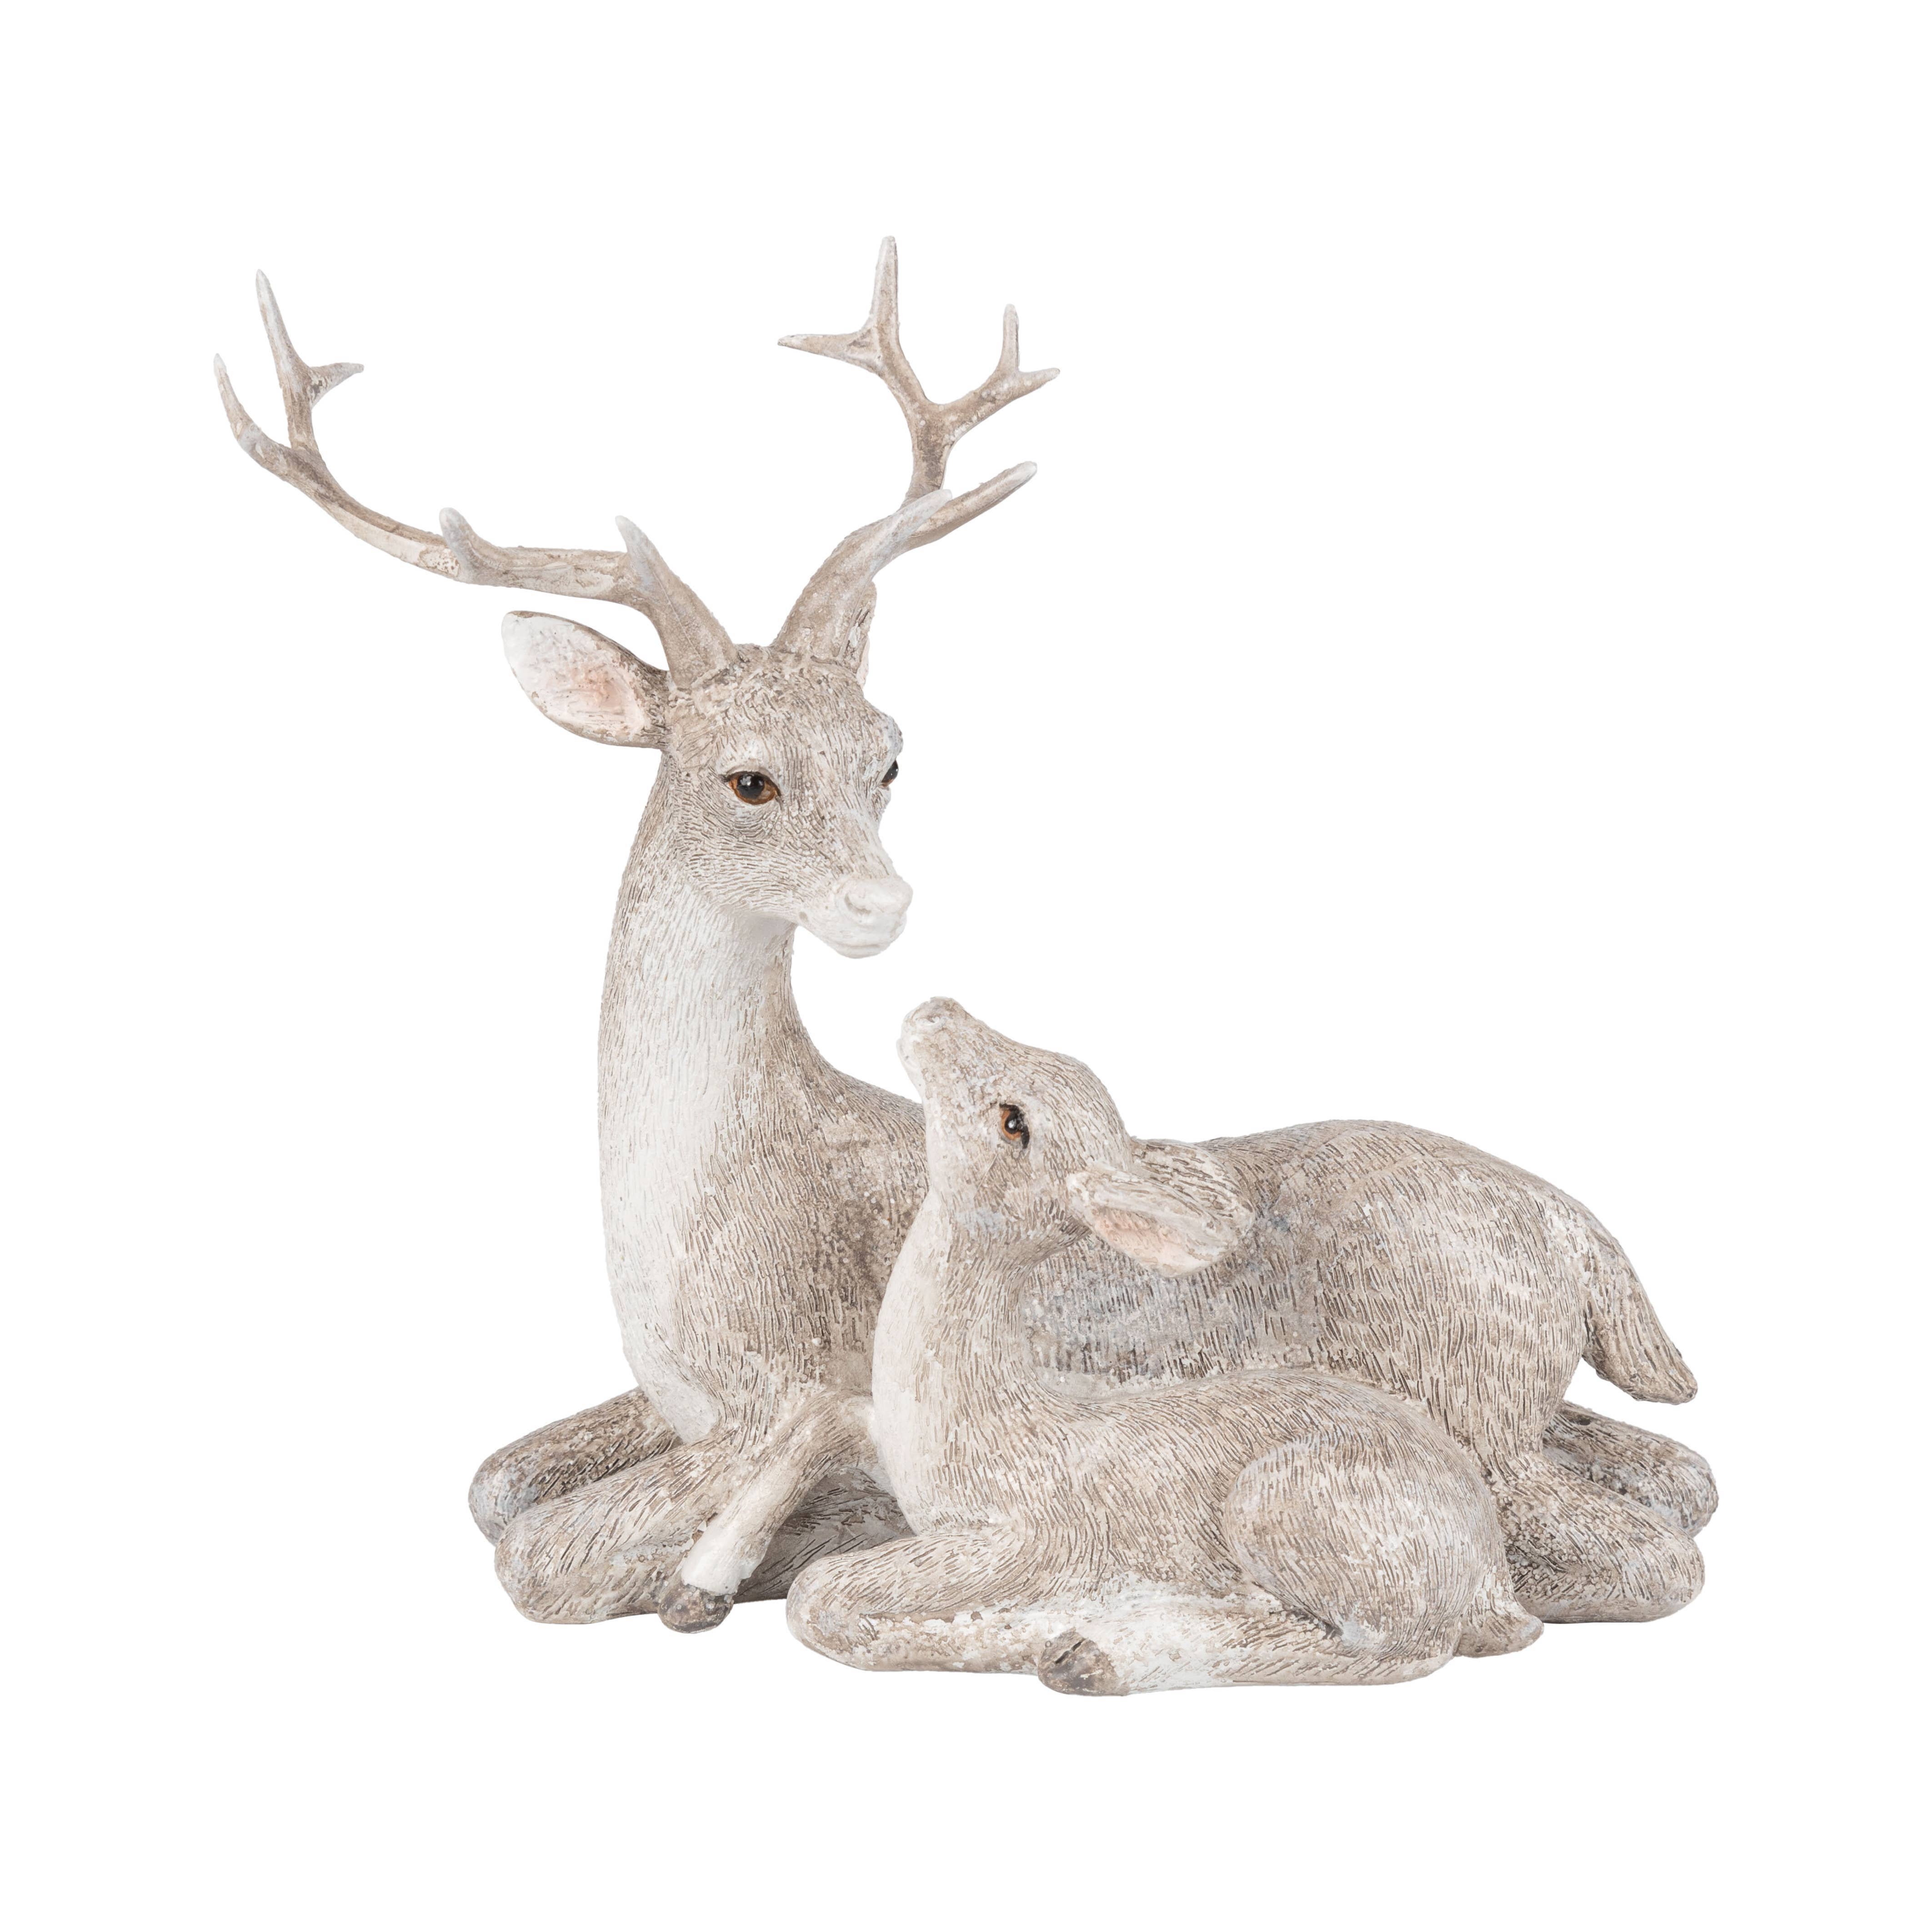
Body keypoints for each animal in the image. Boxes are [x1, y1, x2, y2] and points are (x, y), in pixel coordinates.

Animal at [789, 996, 1545, 1694]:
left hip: (1287, 1502)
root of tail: (1491, 1575)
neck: (978, 1414)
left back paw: (1098, 1657)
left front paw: (985, 1638)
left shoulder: (1022, 1539)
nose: (935, 1011)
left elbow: (815, 1593)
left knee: (1398, 1649)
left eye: (1013, 1121)